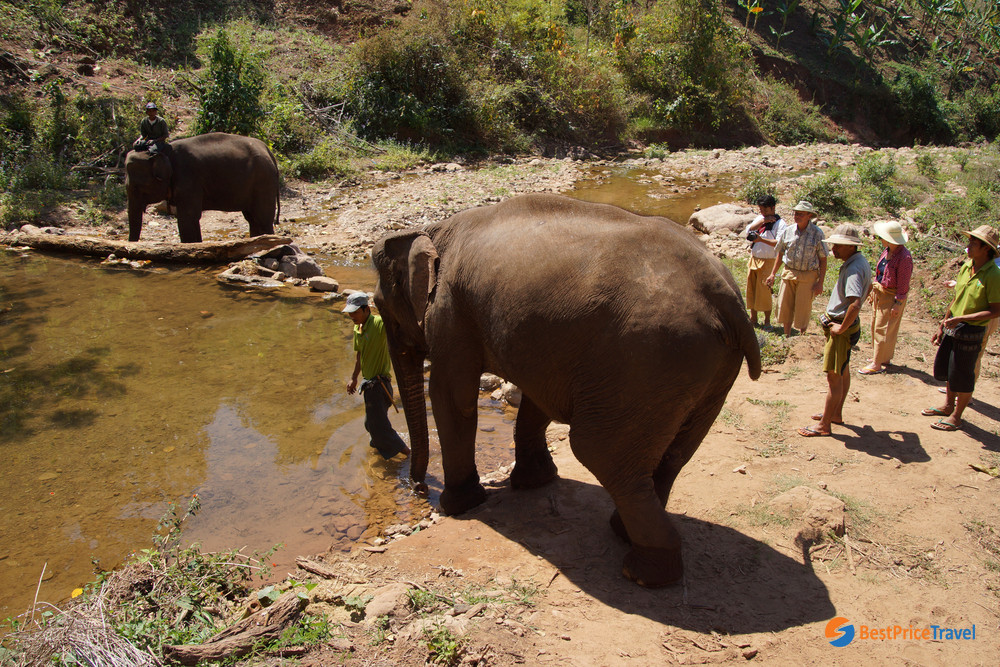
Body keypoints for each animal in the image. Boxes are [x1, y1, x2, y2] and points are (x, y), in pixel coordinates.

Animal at [124, 132, 280, 243]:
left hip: (263, 181)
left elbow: (187, 217)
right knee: (252, 219)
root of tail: (268, 150)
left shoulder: (188, 179)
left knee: (262, 219)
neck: (165, 152)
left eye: (137, 187)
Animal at [372, 193, 762, 587]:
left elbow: (453, 397)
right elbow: (534, 400)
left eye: (378, 305)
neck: (431, 230)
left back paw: (642, 573)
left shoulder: (451, 309)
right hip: (705, 371)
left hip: (651, 362)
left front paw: (460, 506)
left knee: (599, 452)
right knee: (673, 455)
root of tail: (726, 297)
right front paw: (535, 482)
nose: (418, 488)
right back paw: (626, 535)